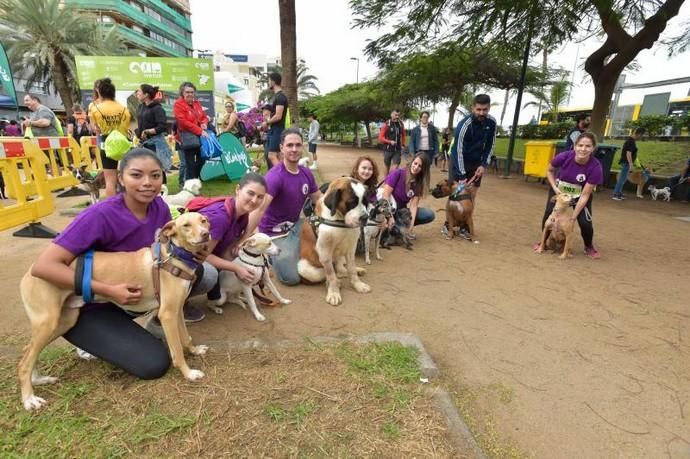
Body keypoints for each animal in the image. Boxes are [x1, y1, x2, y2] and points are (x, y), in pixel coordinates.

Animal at [19, 214, 212, 412]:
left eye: (203, 221)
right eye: (186, 225)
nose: (205, 234)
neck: (174, 257)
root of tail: (28, 273)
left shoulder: (177, 310)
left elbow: (186, 338)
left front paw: (195, 351)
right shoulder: (167, 314)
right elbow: (177, 351)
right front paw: (189, 374)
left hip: (64, 321)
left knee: (27, 351)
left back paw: (38, 379)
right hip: (48, 323)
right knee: (24, 362)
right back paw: (29, 399)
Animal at [296, 176, 370, 306]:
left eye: (365, 202)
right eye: (352, 202)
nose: (365, 218)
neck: (340, 220)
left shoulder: (351, 249)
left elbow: (351, 269)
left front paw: (358, 284)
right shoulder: (325, 253)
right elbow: (330, 275)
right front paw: (334, 293)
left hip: (340, 256)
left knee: (341, 269)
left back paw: (357, 270)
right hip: (303, 267)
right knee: (328, 273)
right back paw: (335, 282)